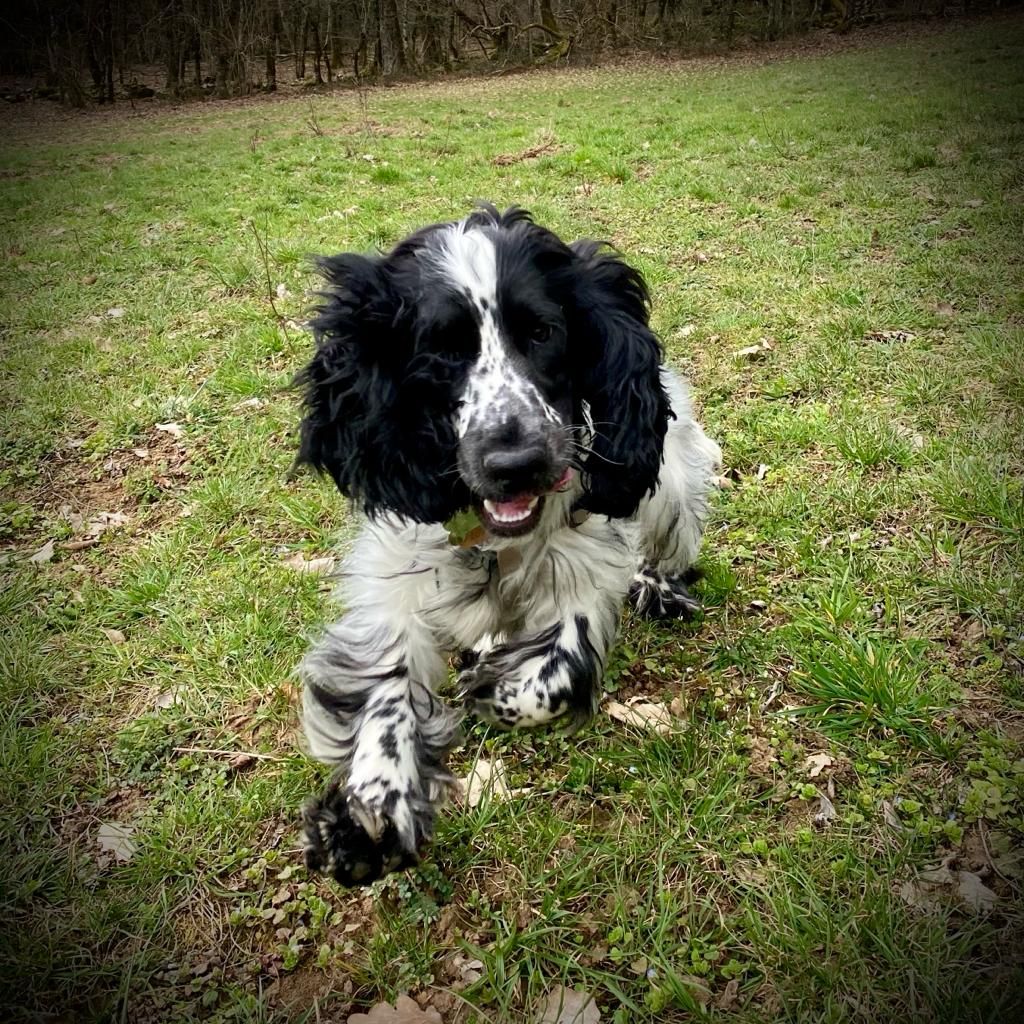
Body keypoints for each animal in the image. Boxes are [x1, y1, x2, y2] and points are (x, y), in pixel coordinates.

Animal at [294, 203, 720, 884]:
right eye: (441, 350)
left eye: (543, 332)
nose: (515, 464)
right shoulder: (394, 577)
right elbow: (386, 684)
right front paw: (372, 813)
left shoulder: (582, 565)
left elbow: (555, 672)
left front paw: (497, 692)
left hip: (672, 492)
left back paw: (658, 588)